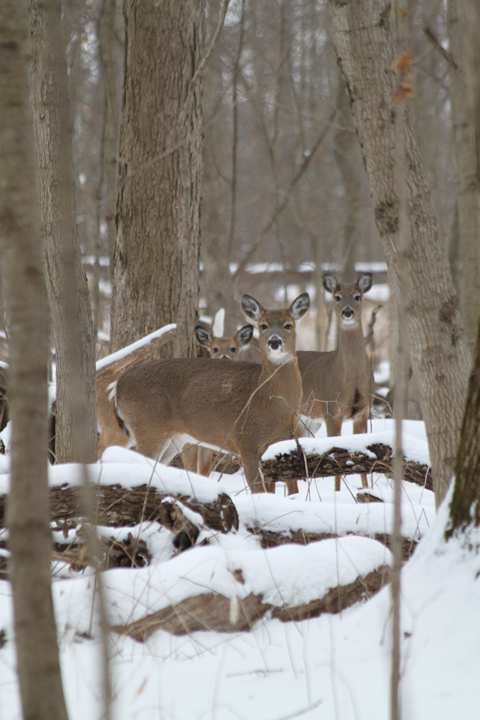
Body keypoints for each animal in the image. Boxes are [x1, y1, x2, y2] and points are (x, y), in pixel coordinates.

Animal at [111, 293, 310, 494]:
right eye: (263, 325)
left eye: (288, 325)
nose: (275, 342)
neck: (268, 398)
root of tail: (119, 385)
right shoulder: (246, 443)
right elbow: (259, 491)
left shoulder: (276, 444)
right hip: (148, 427)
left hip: (173, 439)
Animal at [297, 272, 373, 491]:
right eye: (337, 297)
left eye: (357, 296)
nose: (347, 311)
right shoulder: (331, 411)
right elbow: (336, 457)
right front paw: (338, 493)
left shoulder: (363, 411)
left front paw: (367, 490)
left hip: (307, 420)